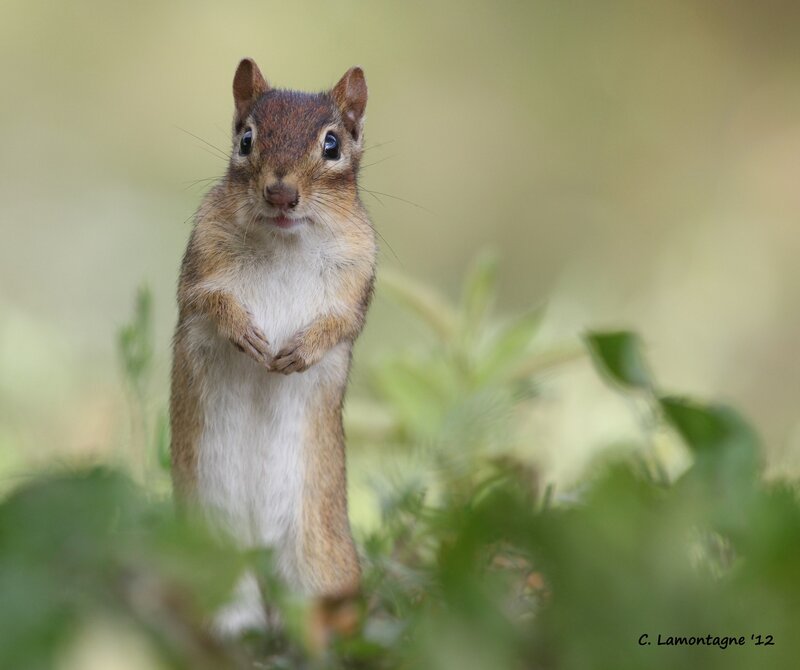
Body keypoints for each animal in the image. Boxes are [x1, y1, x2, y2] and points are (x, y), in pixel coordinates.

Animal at [169, 58, 376, 635]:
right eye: (246, 139)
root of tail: (257, 552)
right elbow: (207, 300)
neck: (286, 241)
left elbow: (341, 324)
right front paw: (243, 332)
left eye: (332, 144)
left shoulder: (358, 280)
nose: (281, 194)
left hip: (321, 561)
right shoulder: (199, 266)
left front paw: (299, 352)